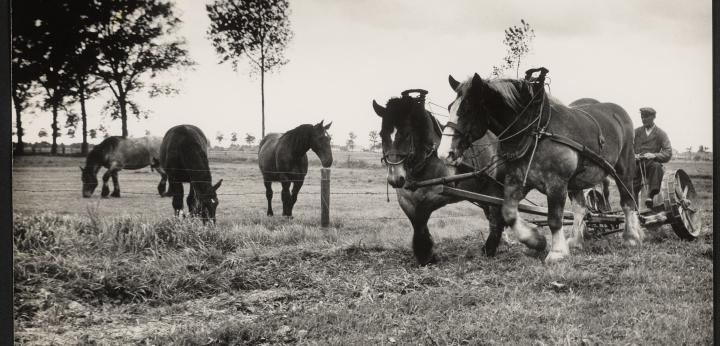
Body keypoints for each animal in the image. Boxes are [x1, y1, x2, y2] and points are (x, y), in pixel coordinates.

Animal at [372, 89, 506, 264]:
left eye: (406, 134)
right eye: (382, 134)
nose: (395, 178)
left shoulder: (441, 193)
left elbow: (421, 217)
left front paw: (426, 253)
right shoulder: (405, 199)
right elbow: (416, 221)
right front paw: (425, 254)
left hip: (496, 188)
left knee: (496, 215)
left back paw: (489, 249)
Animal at [436, 67, 644, 262]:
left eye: (467, 109)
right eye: (449, 107)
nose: (444, 153)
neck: (535, 129)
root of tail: (618, 111)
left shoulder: (556, 183)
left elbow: (554, 219)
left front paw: (556, 252)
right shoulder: (518, 179)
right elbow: (508, 213)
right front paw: (536, 240)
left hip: (624, 167)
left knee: (628, 201)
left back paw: (631, 236)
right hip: (577, 180)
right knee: (581, 208)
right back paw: (576, 241)